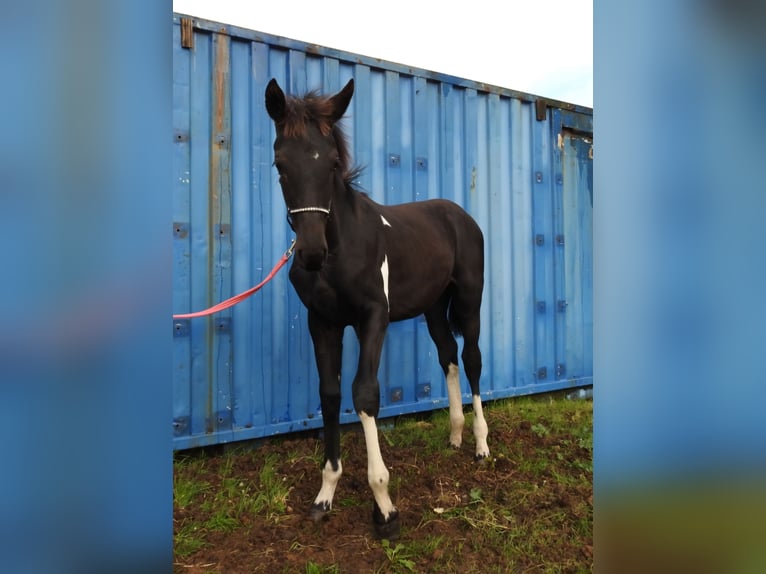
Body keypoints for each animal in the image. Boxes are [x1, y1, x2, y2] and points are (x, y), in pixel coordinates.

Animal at [268, 77, 488, 540]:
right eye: (280, 163)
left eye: (333, 161)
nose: (311, 253)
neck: (341, 246)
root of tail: (460, 216)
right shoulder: (323, 323)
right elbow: (330, 394)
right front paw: (325, 495)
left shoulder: (374, 318)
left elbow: (365, 394)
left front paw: (385, 507)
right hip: (432, 307)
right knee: (448, 356)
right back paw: (455, 437)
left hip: (469, 300)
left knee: (472, 359)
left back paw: (480, 444)